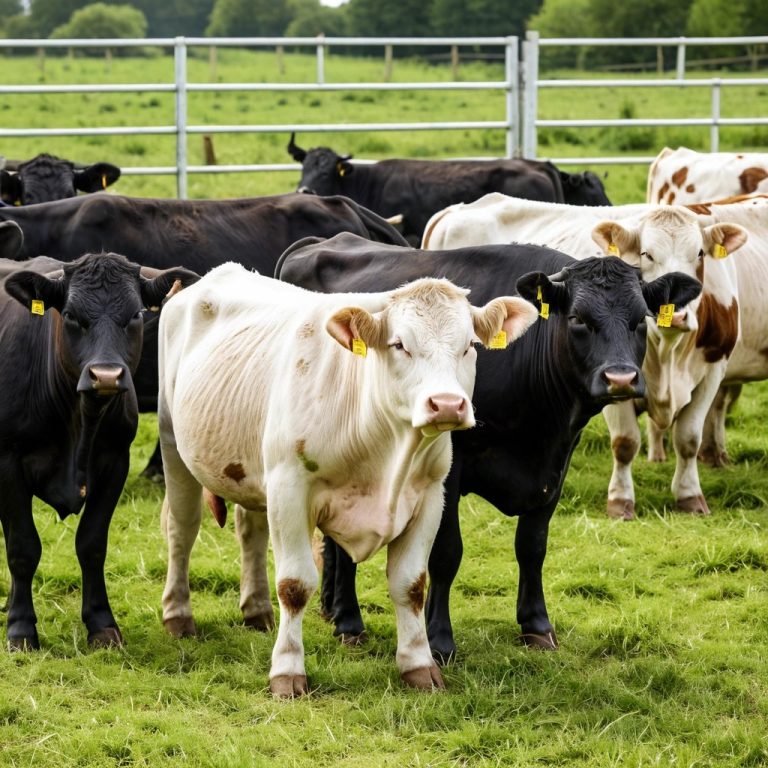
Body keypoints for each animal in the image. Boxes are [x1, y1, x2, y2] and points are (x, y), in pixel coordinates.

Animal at [0, 251, 198, 650]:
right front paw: (21, 628)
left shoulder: (114, 463)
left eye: (136, 315)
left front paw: (101, 623)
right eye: (71, 315)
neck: (79, 423)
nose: (105, 375)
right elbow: (22, 547)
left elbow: (91, 543)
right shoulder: (7, 463)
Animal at [158, 264, 538, 696]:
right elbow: (295, 584)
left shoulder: (430, 496)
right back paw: (178, 615)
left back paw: (256, 610)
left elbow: (411, 584)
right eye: (399, 344)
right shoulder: (289, 488)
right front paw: (287, 671)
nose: (446, 404)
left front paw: (418, 665)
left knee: (250, 531)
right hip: (173, 444)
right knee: (182, 530)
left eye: (470, 345)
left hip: (251, 468)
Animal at [276, 231, 702, 661]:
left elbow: (532, 546)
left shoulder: (556, 464)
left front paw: (536, 624)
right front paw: (439, 639)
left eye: (640, 320)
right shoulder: (450, 465)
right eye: (578, 319)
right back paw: (349, 620)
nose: (620, 378)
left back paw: (334, 610)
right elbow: (446, 553)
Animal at [421, 193, 749, 517]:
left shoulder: (713, 370)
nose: (680, 316)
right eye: (647, 254)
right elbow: (625, 441)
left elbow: (688, 438)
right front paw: (621, 502)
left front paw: (690, 497)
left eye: (700, 254)